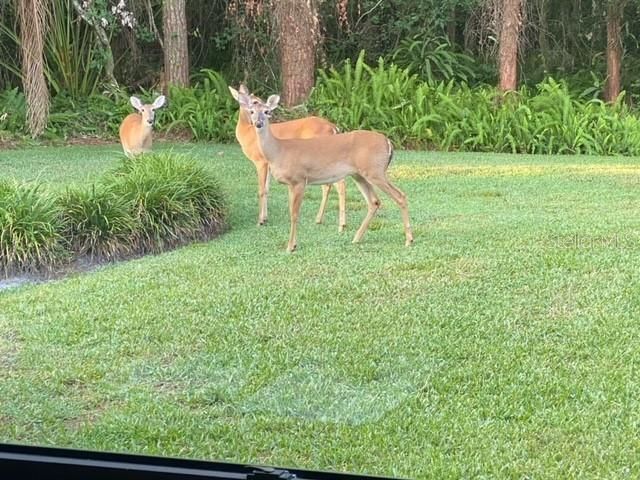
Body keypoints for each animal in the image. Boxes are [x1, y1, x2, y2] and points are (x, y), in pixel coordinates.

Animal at [226, 84, 344, 229]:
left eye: (259, 101)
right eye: (254, 102)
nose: (269, 112)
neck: (248, 134)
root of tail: (333, 127)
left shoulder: (260, 161)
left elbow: (261, 190)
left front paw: (260, 221)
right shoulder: (269, 164)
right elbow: (267, 189)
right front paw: (265, 218)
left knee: (335, 184)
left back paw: (334, 222)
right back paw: (321, 219)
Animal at [236, 91, 416, 253]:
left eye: (267, 112)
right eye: (252, 111)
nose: (258, 123)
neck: (279, 151)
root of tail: (388, 142)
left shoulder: (299, 179)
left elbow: (294, 214)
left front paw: (290, 247)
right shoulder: (289, 183)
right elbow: (290, 211)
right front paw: (292, 244)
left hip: (375, 170)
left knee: (400, 195)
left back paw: (409, 240)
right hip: (359, 174)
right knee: (374, 201)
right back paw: (356, 238)